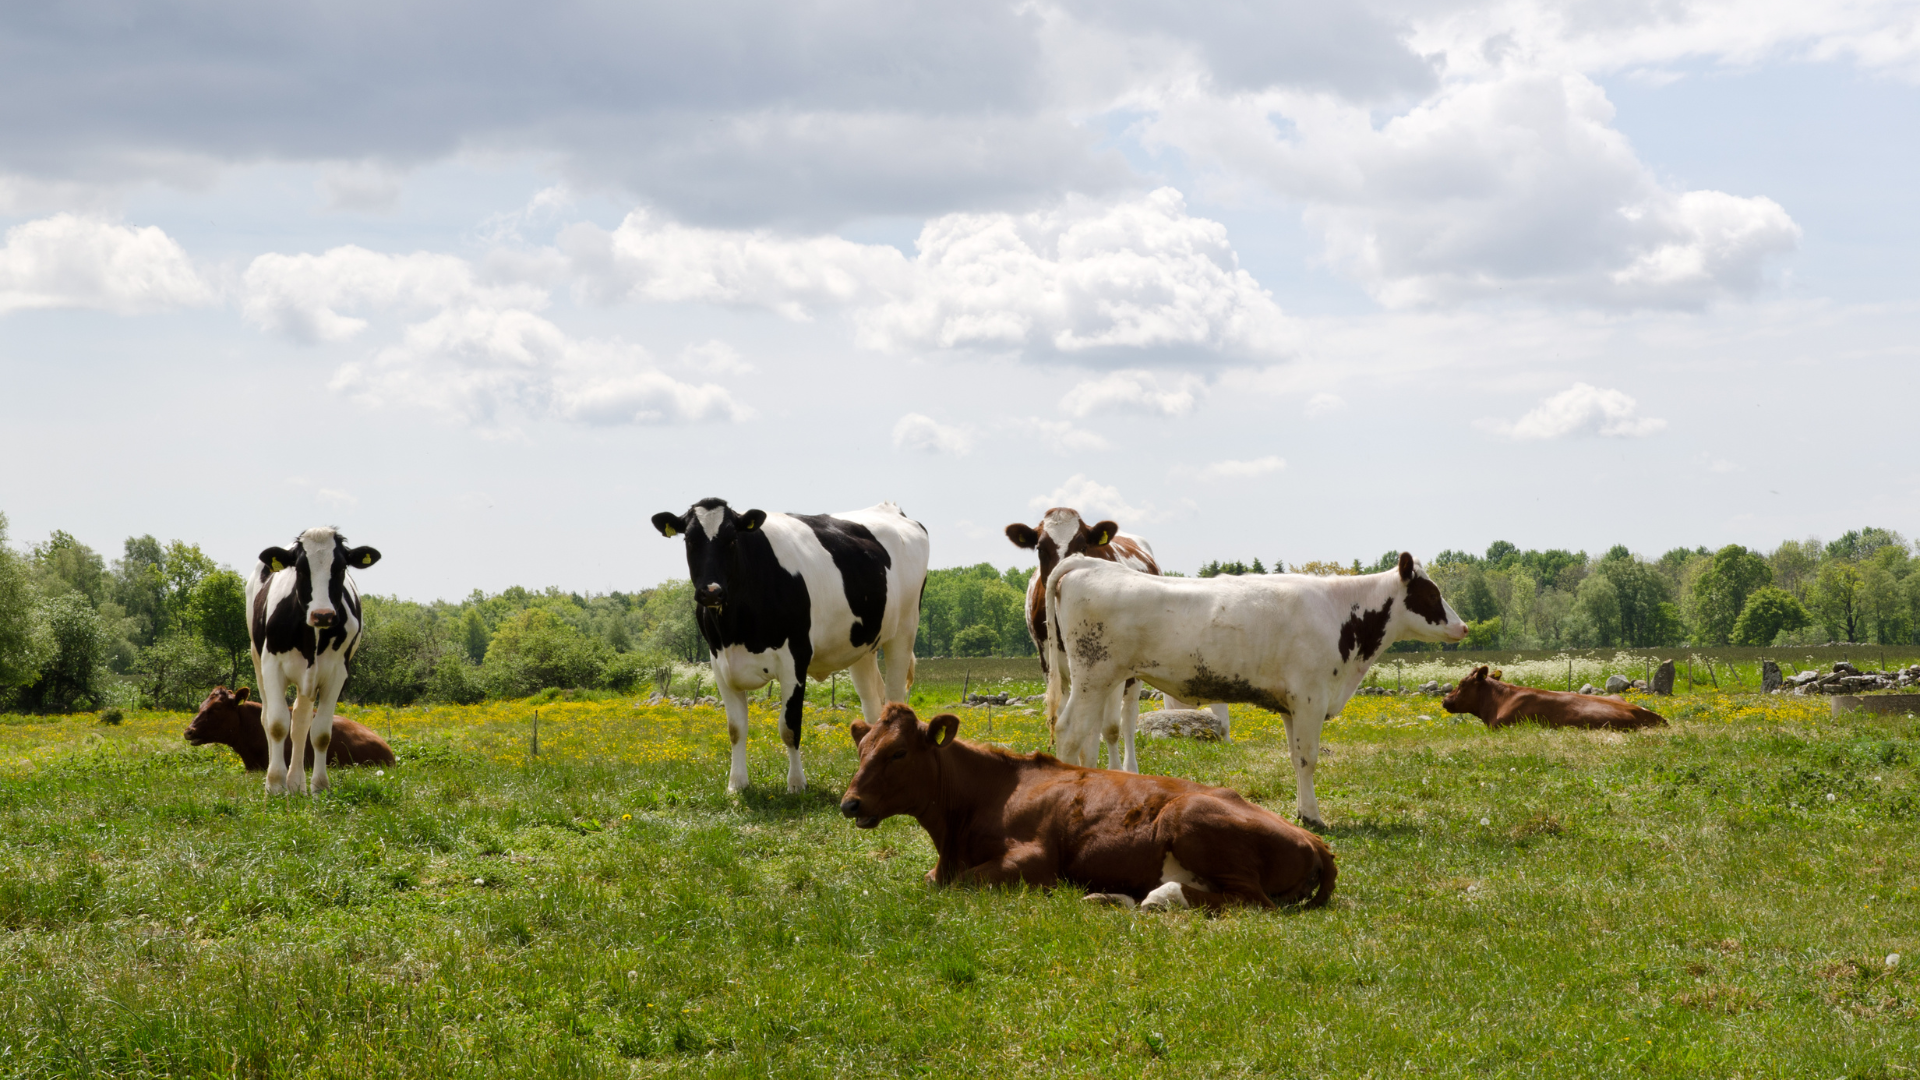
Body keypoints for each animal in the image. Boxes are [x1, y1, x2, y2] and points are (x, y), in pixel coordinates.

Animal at [246, 526, 381, 795]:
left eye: (341, 567)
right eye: (300, 568)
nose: (323, 615)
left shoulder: (337, 673)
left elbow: (320, 733)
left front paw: (319, 787)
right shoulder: (272, 666)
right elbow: (277, 724)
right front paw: (274, 786)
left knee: (300, 721)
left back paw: (297, 783)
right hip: (257, 660)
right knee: (267, 717)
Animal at [651, 498, 929, 794]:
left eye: (732, 539)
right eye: (690, 540)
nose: (711, 591)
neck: (735, 630)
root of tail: (891, 508)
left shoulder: (794, 660)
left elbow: (789, 726)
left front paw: (796, 783)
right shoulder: (720, 664)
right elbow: (735, 728)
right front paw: (737, 784)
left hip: (904, 631)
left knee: (894, 696)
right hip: (862, 646)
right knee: (872, 703)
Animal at [838, 703, 1335, 910]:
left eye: (899, 753)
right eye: (861, 748)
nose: (849, 804)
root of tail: (1315, 839)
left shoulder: (1035, 858)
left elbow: (962, 883)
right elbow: (934, 881)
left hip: (1190, 818)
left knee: (1249, 901)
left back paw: (1159, 898)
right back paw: (1106, 896)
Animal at [1005, 507, 1203, 771]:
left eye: (1083, 546)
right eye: (1040, 548)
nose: (1064, 580)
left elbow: (1109, 728)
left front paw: (1115, 771)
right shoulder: (1051, 666)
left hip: (1132, 673)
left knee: (1126, 720)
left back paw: (1130, 768)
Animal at [1048, 551, 1468, 829]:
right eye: (1431, 593)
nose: (1463, 627)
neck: (1341, 613)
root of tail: (1087, 562)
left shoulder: (1290, 705)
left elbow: (1295, 757)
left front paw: (1302, 812)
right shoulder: (1310, 698)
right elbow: (1308, 758)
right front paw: (1314, 818)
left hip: (1100, 680)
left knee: (1088, 738)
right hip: (1093, 675)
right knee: (1069, 733)